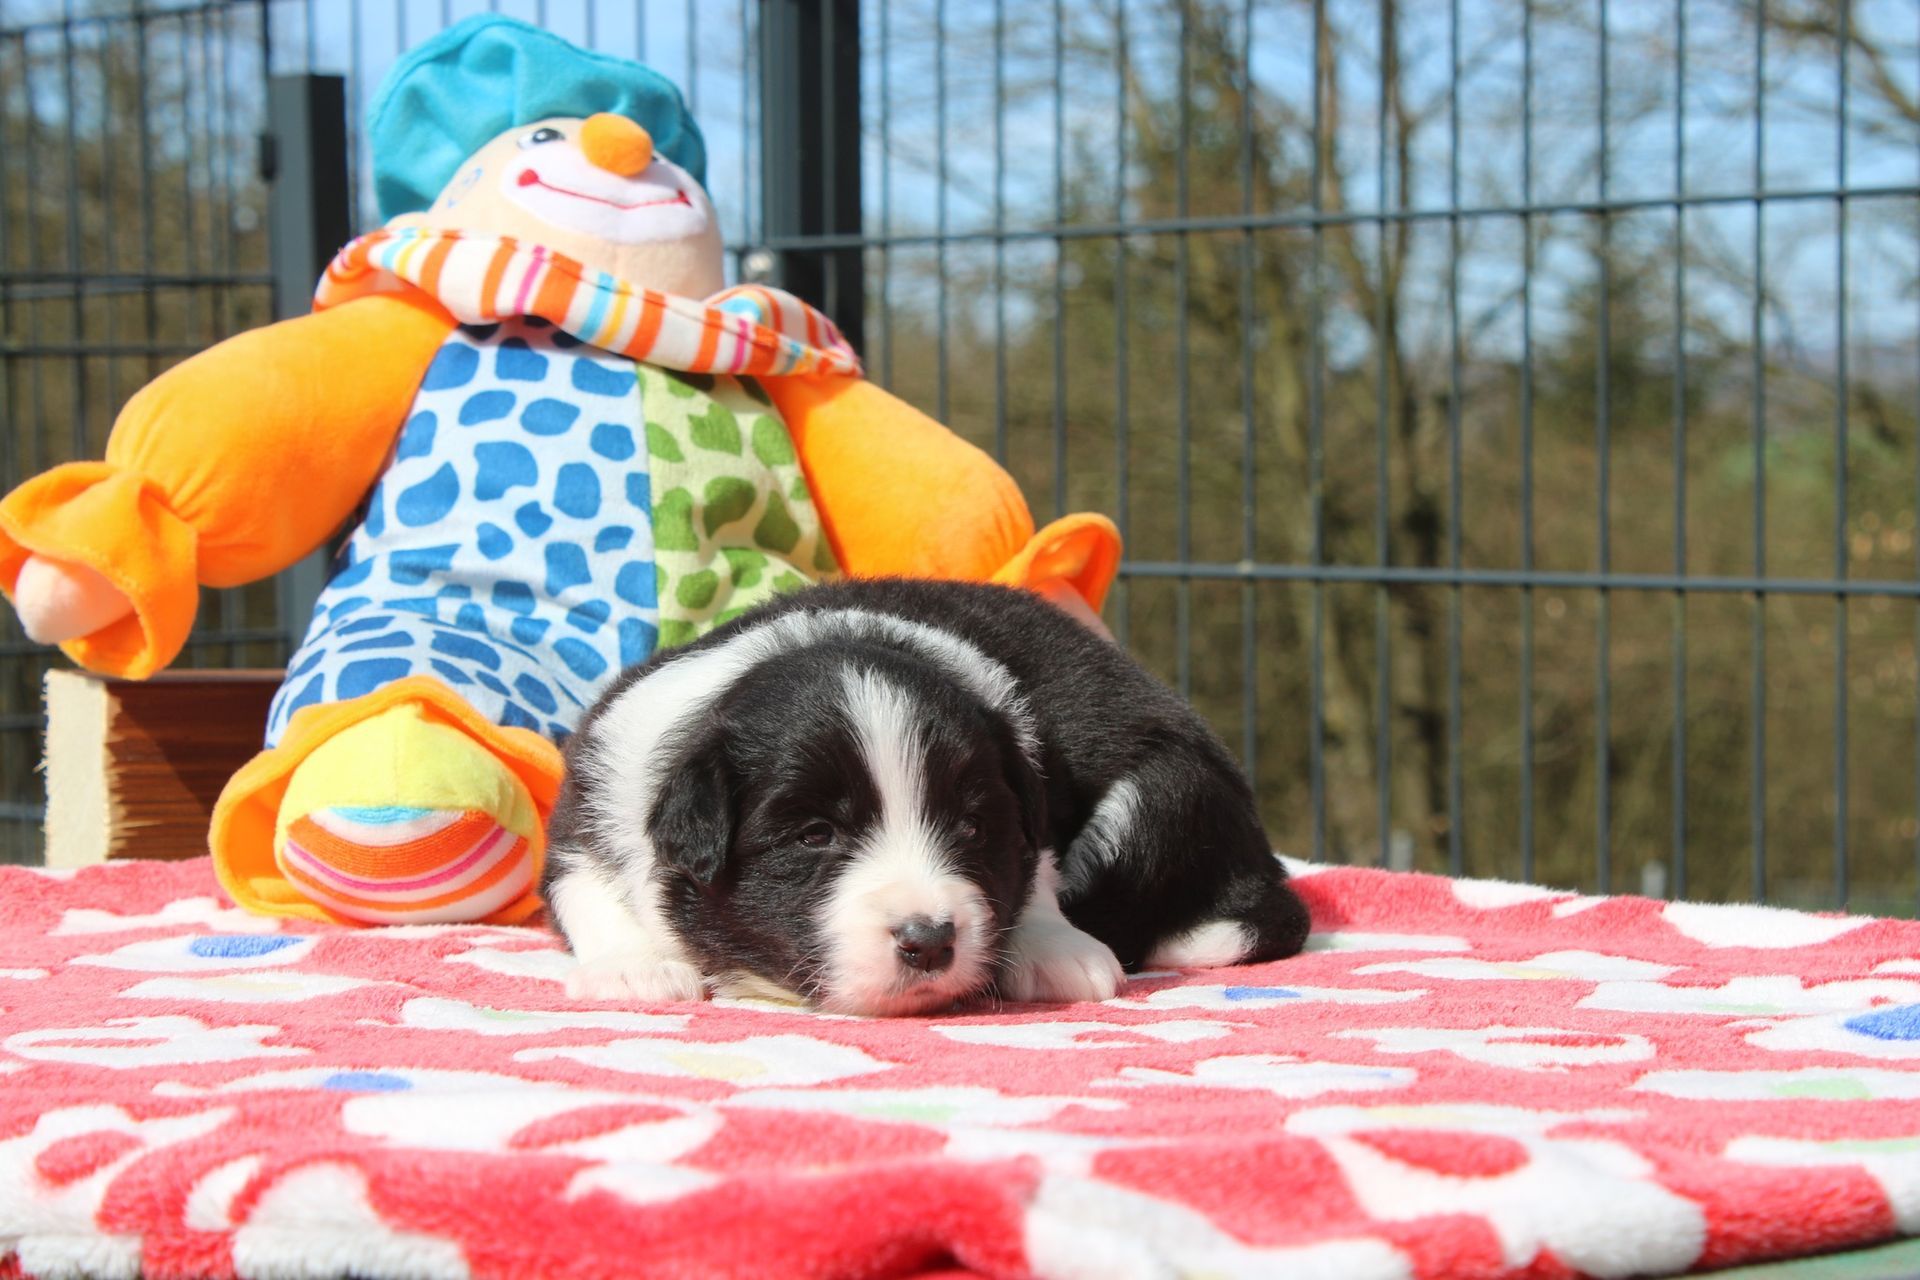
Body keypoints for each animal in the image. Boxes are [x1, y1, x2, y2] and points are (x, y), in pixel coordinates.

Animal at [544, 578, 1310, 1015]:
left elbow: (1036, 871)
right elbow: (582, 884)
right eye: (814, 836)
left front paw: (1056, 949)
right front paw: (633, 968)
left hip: (1161, 792)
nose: (929, 941)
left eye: (971, 827)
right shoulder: (591, 794)